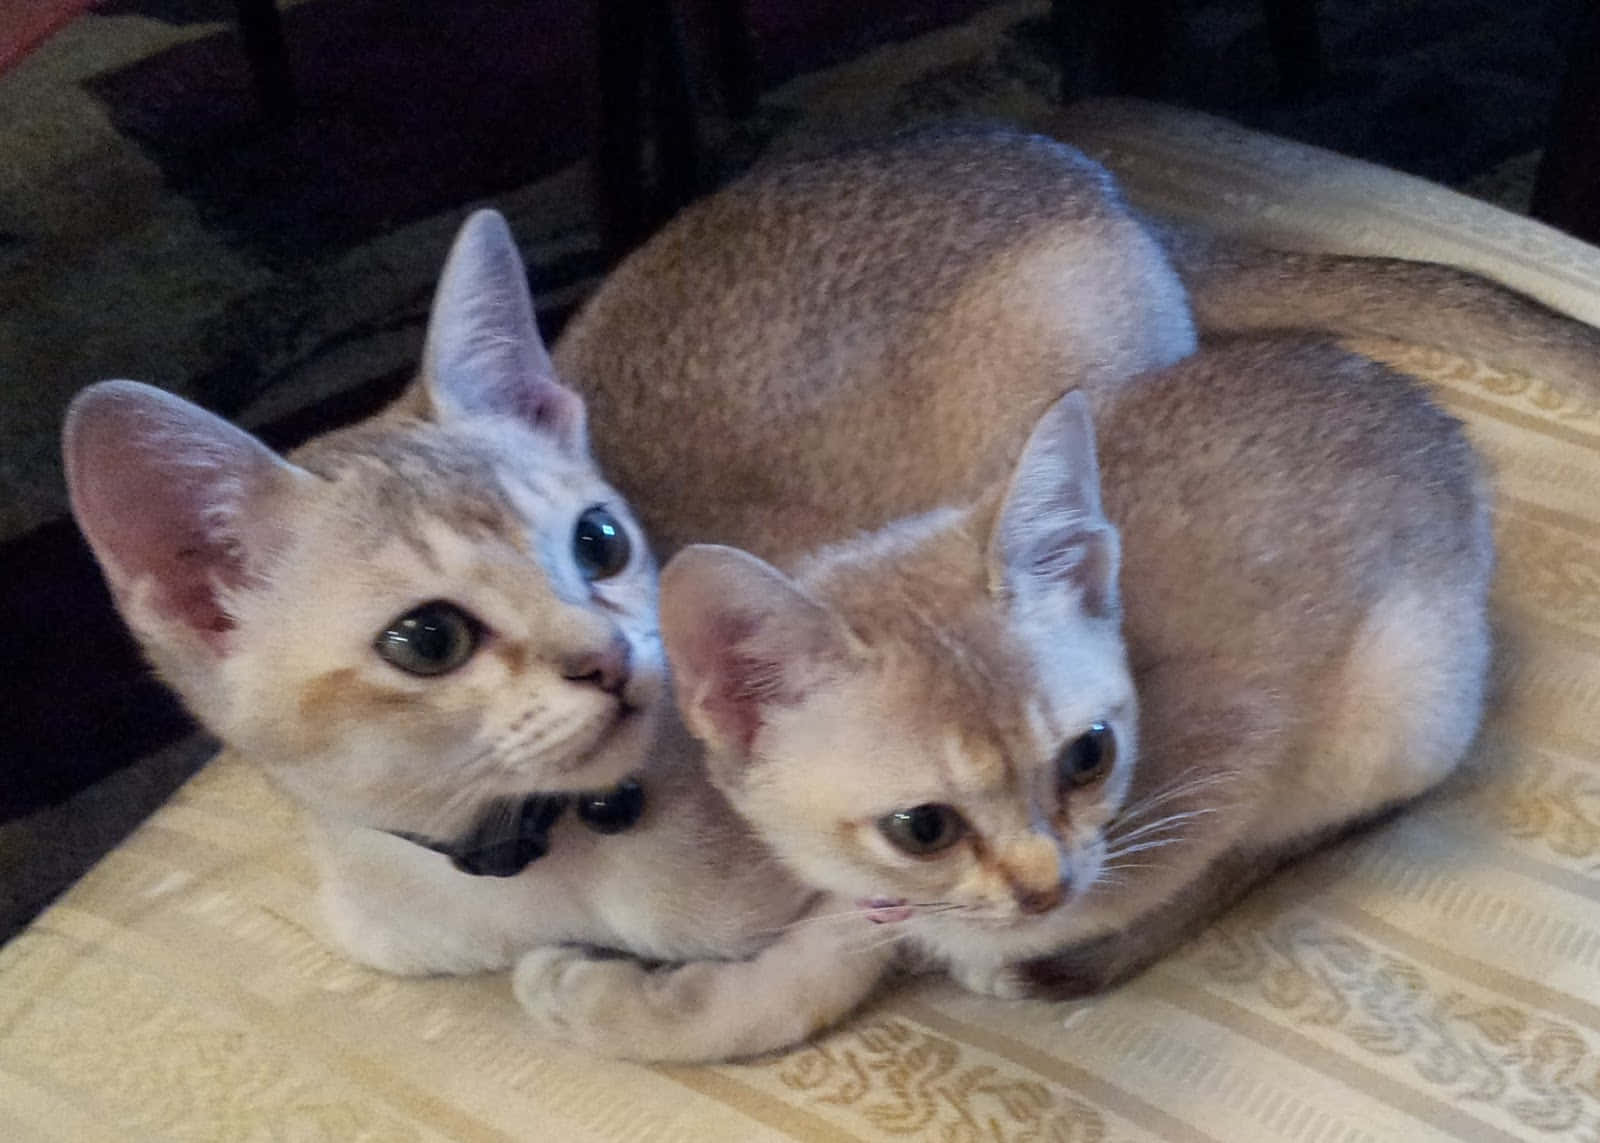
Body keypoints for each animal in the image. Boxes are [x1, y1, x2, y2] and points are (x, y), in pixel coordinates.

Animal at [518, 336, 1491, 1056]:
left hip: (1408, 708)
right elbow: (811, 971)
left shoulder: (1232, 766)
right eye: (922, 827)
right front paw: (623, 1000)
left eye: (1090, 753)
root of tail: (1428, 412)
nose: (1046, 884)